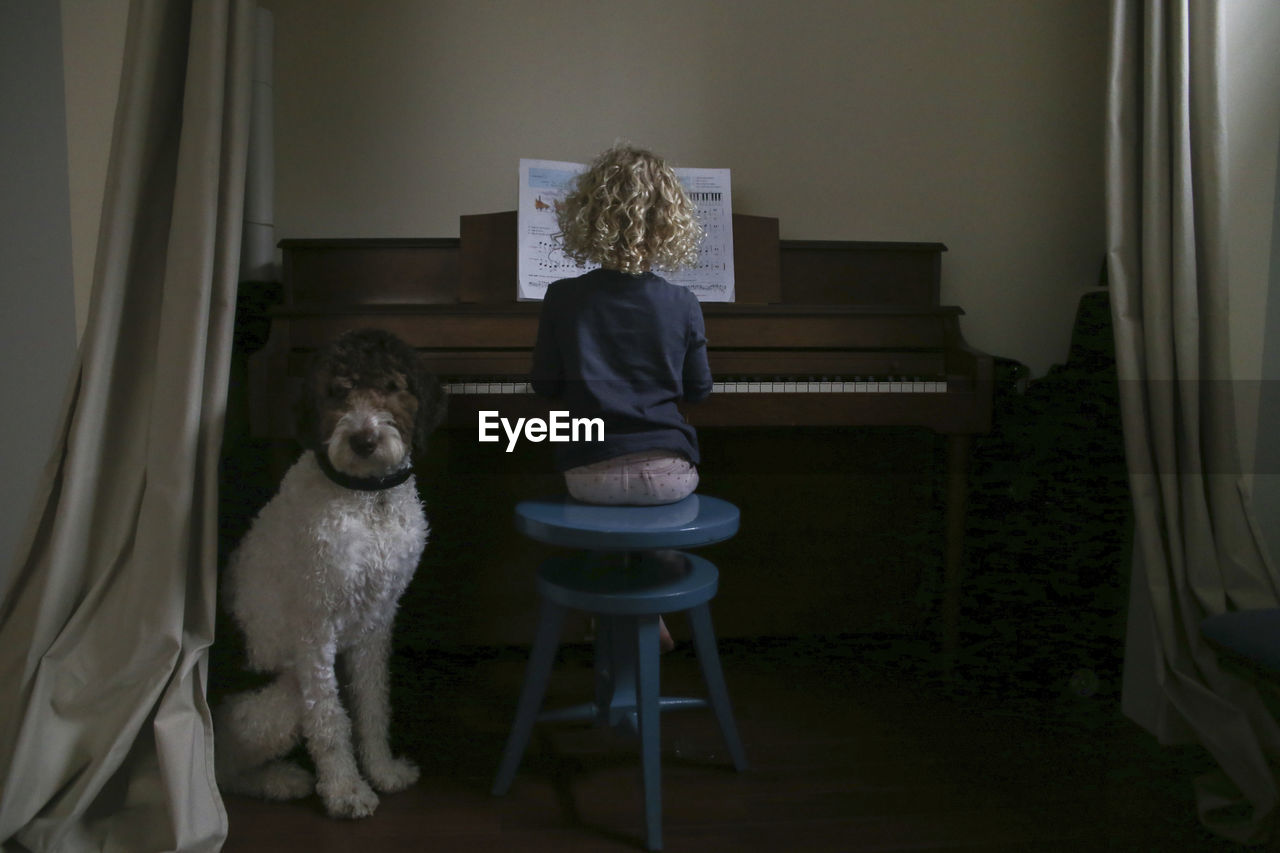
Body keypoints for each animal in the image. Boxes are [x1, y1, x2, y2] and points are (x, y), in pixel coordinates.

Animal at [215, 326, 445, 819]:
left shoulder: (378, 620)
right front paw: (345, 790)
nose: (363, 440)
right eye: (337, 392)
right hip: (276, 700)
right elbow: (330, 719)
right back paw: (280, 779)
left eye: (392, 386)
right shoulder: (316, 629)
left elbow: (372, 705)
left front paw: (382, 771)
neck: (369, 500)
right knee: (222, 768)